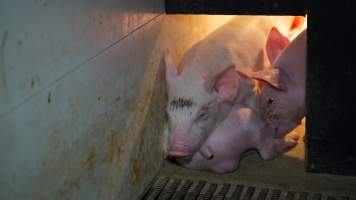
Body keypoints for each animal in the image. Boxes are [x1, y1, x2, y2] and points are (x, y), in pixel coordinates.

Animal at [163, 15, 300, 161]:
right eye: (168, 115)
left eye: (202, 114)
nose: (175, 152)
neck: (196, 73)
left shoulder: (250, 85)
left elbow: (257, 106)